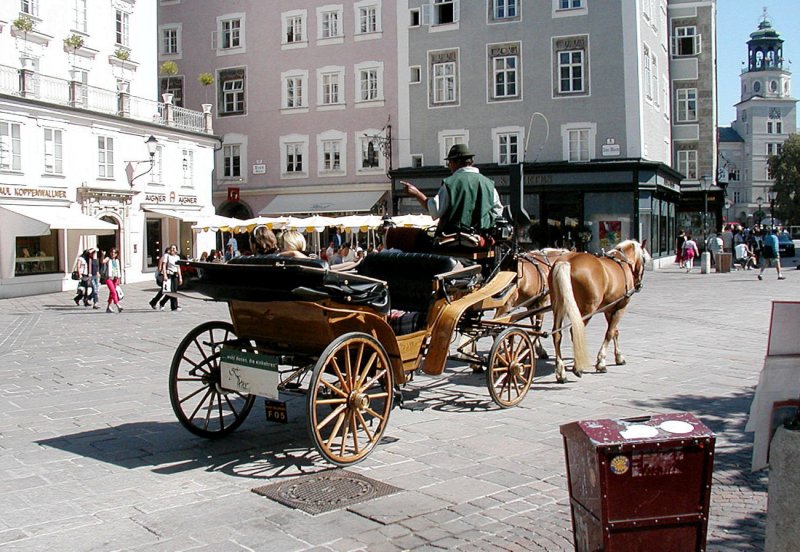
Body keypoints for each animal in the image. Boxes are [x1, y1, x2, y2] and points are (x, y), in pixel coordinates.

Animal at [552, 242, 648, 384]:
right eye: (644, 259)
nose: (639, 284)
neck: (622, 260)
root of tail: (566, 261)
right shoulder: (621, 307)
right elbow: (609, 333)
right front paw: (601, 362)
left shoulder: (609, 309)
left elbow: (614, 331)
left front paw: (619, 357)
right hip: (587, 310)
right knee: (574, 331)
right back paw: (577, 368)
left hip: (557, 306)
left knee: (557, 334)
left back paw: (561, 372)